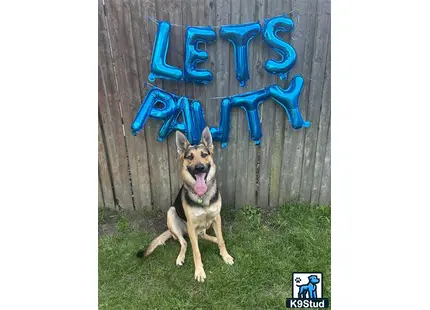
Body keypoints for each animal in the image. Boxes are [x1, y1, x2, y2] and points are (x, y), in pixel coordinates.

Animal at [137, 127, 232, 282]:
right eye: (190, 157)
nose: (199, 167)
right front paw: (199, 271)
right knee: (186, 242)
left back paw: (214, 239)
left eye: (204, 155)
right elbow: (196, 251)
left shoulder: (217, 218)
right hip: (172, 214)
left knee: (207, 236)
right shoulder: (191, 225)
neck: (202, 196)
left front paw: (225, 256)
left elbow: (222, 240)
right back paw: (180, 257)